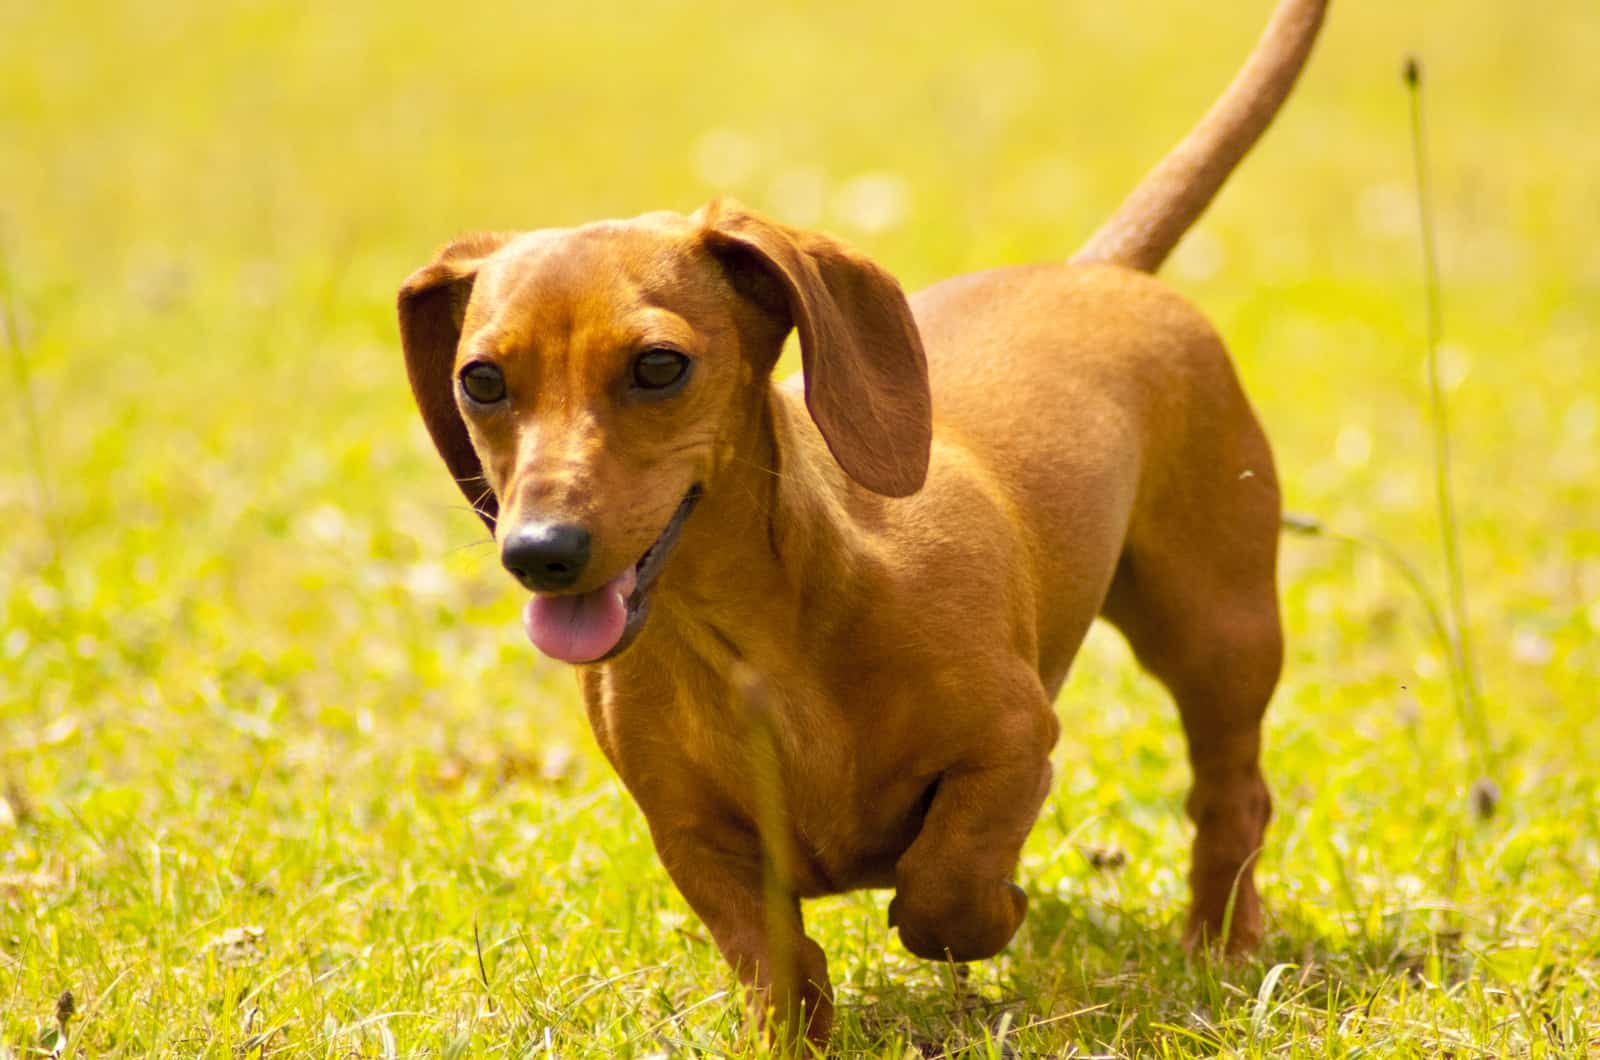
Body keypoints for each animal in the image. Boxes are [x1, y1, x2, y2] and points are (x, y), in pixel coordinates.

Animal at [400, 0, 1324, 1043]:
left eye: (659, 366)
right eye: (480, 380)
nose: (539, 554)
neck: (750, 641)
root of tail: (1096, 273)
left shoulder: (1014, 743)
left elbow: (942, 892)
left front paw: (998, 909)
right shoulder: (692, 837)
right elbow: (770, 957)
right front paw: (791, 1026)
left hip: (1216, 631)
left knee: (1231, 796)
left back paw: (1222, 946)